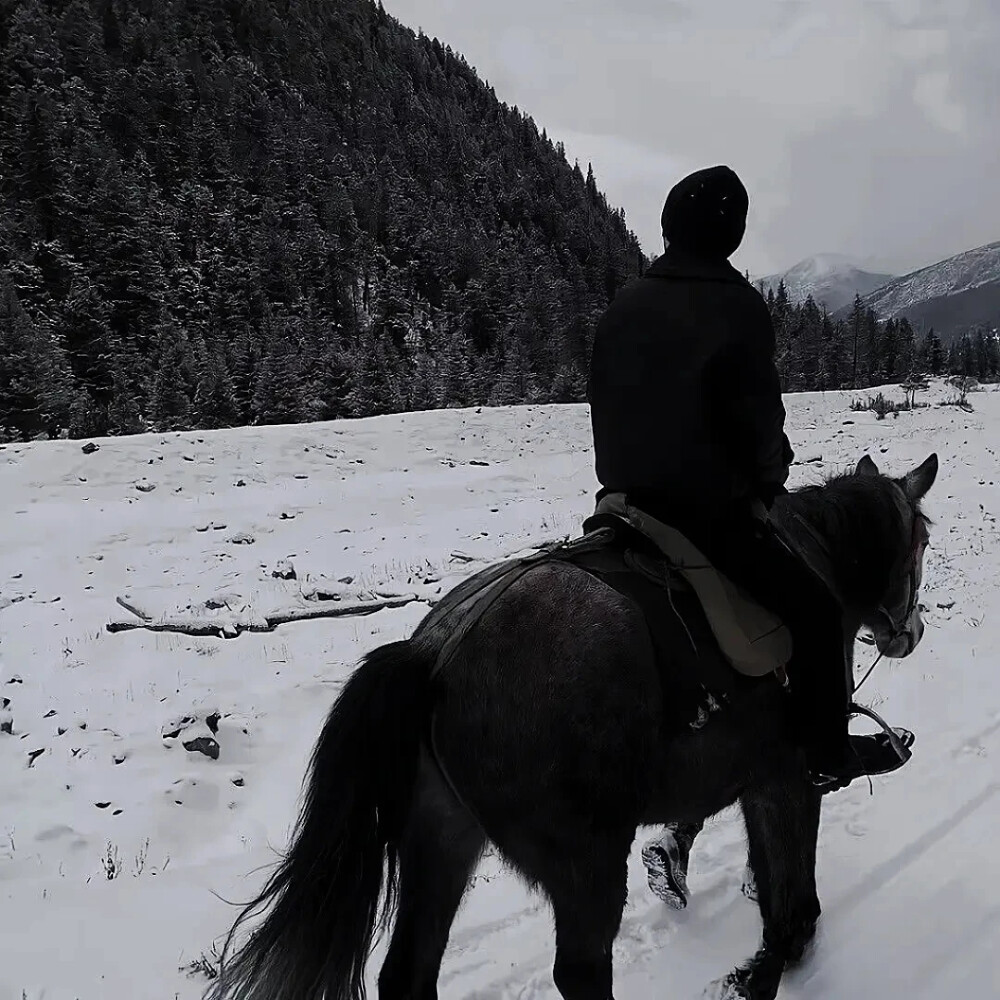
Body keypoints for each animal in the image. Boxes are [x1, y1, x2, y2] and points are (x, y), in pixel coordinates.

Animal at [209, 454, 936, 1000]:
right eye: (922, 540)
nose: (910, 633)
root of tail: (435, 655)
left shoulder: (741, 769)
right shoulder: (786, 778)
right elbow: (791, 893)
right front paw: (771, 962)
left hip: (440, 835)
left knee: (408, 974)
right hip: (584, 864)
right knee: (581, 974)